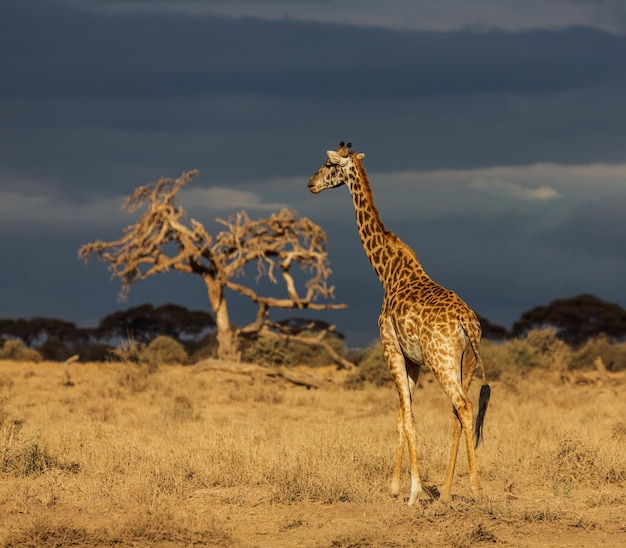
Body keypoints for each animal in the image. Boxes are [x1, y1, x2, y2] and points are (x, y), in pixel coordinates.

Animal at [306, 141, 488, 506]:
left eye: (327, 164)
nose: (310, 183)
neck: (387, 271)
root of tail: (467, 322)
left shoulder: (391, 349)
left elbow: (408, 418)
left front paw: (413, 492)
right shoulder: (412, 360)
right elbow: (401, 419)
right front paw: (395, 486)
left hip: (442, 361)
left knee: (463, 407)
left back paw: (475, 489)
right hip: (466, 362)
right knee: (457, 414)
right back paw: (447, 494)